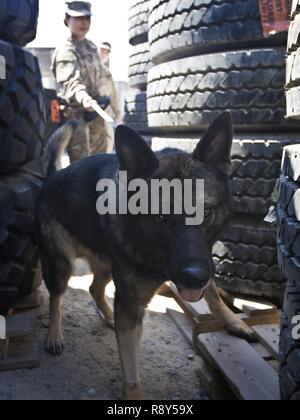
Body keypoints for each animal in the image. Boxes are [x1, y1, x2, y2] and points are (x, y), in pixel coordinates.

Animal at [36, 112, 254, 400]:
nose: (192, 278)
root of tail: (52, 176)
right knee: (56, 298)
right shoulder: (132, 305)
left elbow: (214, 295)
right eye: (159, 218)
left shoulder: (202, 262)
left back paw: (109, 316)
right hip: (61, 266)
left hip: (107, 266)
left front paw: (234, 322)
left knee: (95, 289)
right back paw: (54, 335)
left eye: (205, 213)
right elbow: (131, 376)